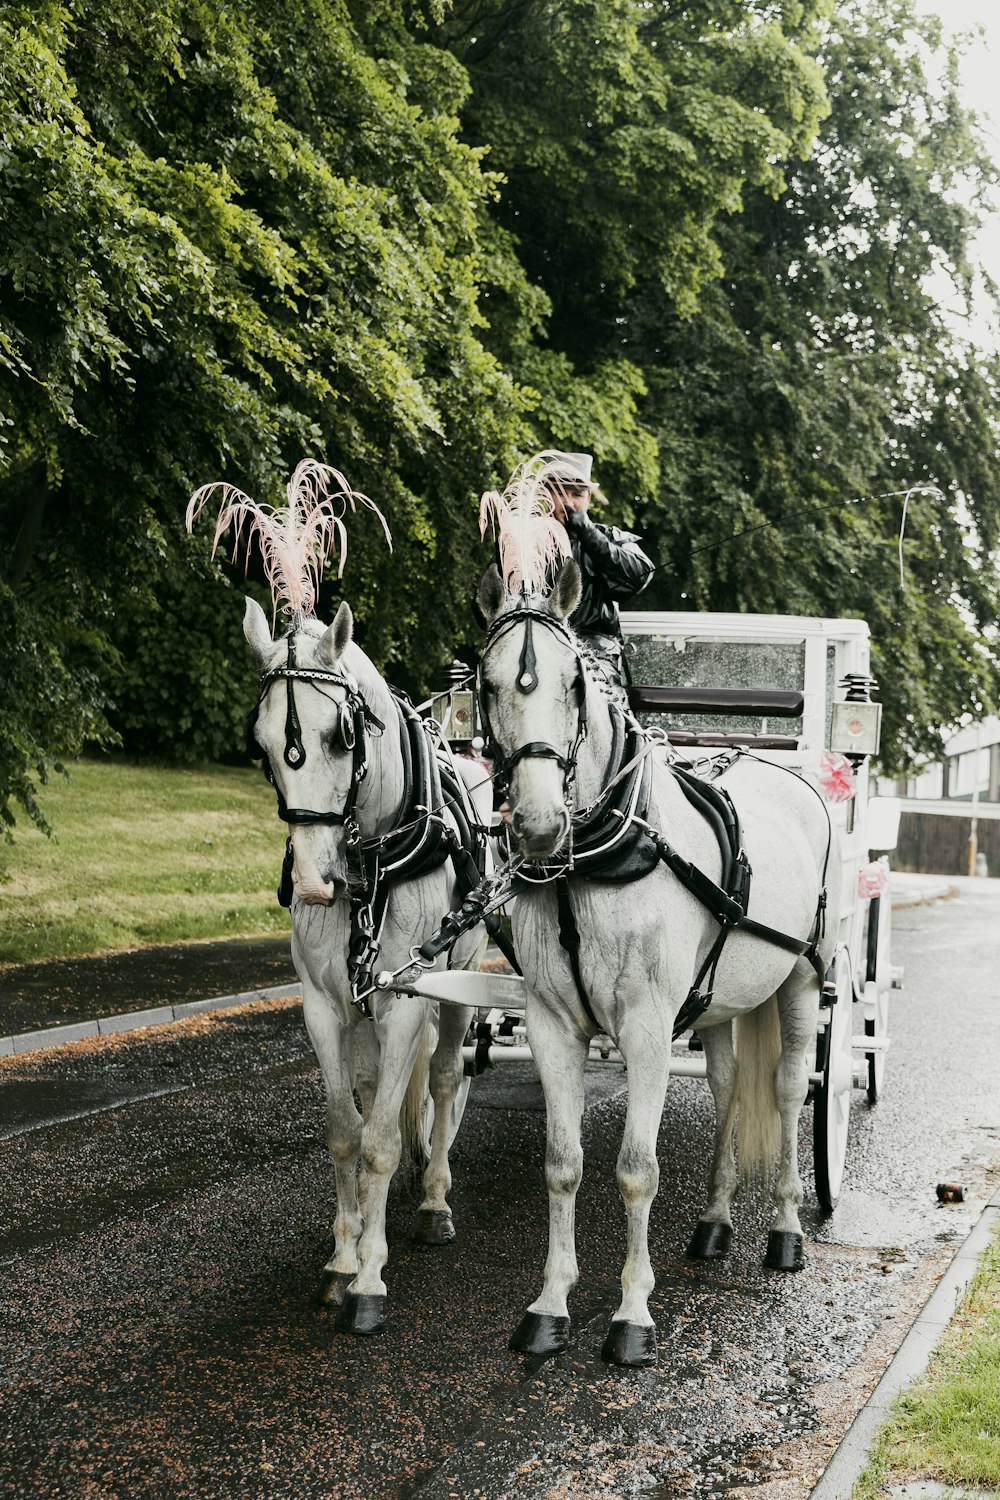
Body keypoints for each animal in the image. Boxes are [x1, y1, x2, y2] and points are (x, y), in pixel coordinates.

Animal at [242, 597, 491, 1338]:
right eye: (261, 744)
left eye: (341, 736)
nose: (315, 883)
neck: (371, 861)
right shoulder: (324, 1006)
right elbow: (346, 1132)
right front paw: (342, 1259)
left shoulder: (406, 999)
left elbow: (381, 1140)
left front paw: (371, 1279)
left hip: (459, 980)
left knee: (444, 1079)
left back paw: (434, 1200)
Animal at [476, 558, 839, 1368]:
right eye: (486, 682)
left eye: (574, 683)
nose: (540, 824)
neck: (589, 863)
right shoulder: (552, 1023)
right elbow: (563, 1162)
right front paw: (549, 1305)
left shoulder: (644, 1027)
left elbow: (635, 1171)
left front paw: (632, 1315)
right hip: (722, 1001)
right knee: (731, 1088)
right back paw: (715, 1221)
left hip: (803, 978)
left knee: (787, 1089)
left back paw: (786, 1231)